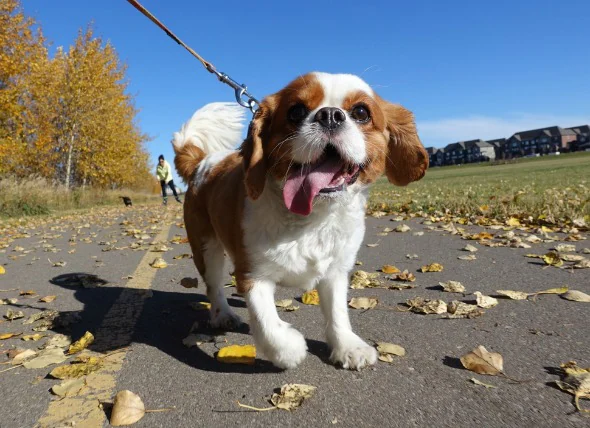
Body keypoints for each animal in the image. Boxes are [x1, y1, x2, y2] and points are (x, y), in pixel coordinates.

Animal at [173, 72, 428, 370]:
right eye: (296, 111)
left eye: (361, 112)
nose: (330, 115)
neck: (313, 218)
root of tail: (202, 162)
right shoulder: (252, 274)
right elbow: (267, 324)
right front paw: (289, 348)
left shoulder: (335, 271)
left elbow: (337, 312)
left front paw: (347, 346)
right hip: (206, 248)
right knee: (214, 286)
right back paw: (222, 314)